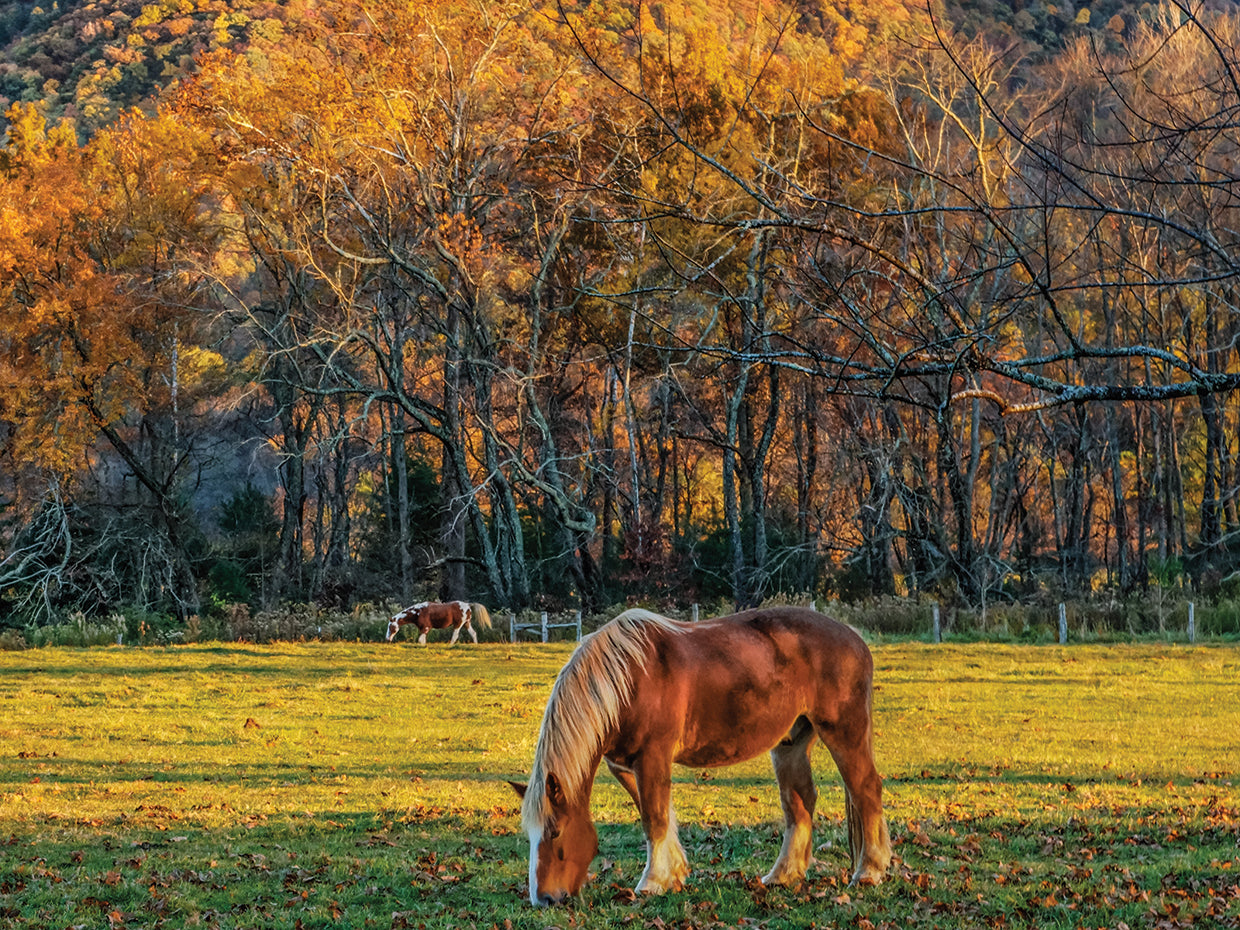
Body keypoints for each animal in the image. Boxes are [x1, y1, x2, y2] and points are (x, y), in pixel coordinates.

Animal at [509, 606, 891, 906]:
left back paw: (870, 871)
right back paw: (783, 875)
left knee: (866, 790)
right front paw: (675, 873)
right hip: (791, 742)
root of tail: (854, 638)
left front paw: (652, 882)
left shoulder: (652, 756)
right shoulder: (625, 764)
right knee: (800, 802)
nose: (544, 899)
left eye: (555, 832)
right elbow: (657, 813)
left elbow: (654, 818)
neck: (628, 679)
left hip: (843, 731)